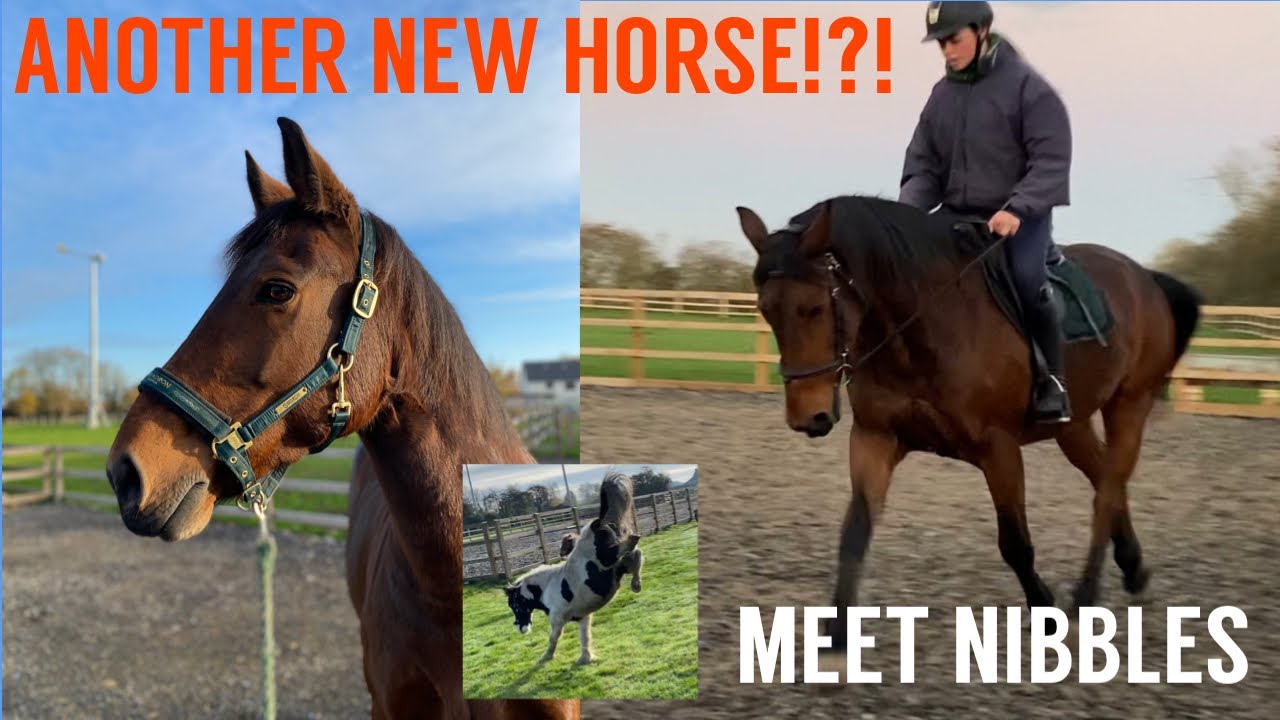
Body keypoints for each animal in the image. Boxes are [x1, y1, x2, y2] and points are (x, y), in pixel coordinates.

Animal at [505, 516, 641, 665]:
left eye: (513, 604)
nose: (520, 627)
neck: (546, 589)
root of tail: (599, 523)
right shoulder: (583, 616)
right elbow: (585, 637)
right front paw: (585, 658)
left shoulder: (557, 619)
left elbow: (553, 638)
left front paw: (546, 656)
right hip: (617, 566)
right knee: (634, 554)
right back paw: (636, 584)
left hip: (608, 556)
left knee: (631, 543)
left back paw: (636, 583)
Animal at [735, 194, 1201, 641]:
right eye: (766, 309)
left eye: (814, 308)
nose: (807, 416)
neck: (921, 327)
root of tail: (1142, 275)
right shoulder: (875, 438)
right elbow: (854, 532)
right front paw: (837, 631)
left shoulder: (998, 448)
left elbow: (1015, 544)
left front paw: (1046, 612)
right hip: (1074, 424)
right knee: (1106, 477)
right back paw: (1133, 568)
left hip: (1129, 404)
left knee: (1107, 491)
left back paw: (1086, 594)